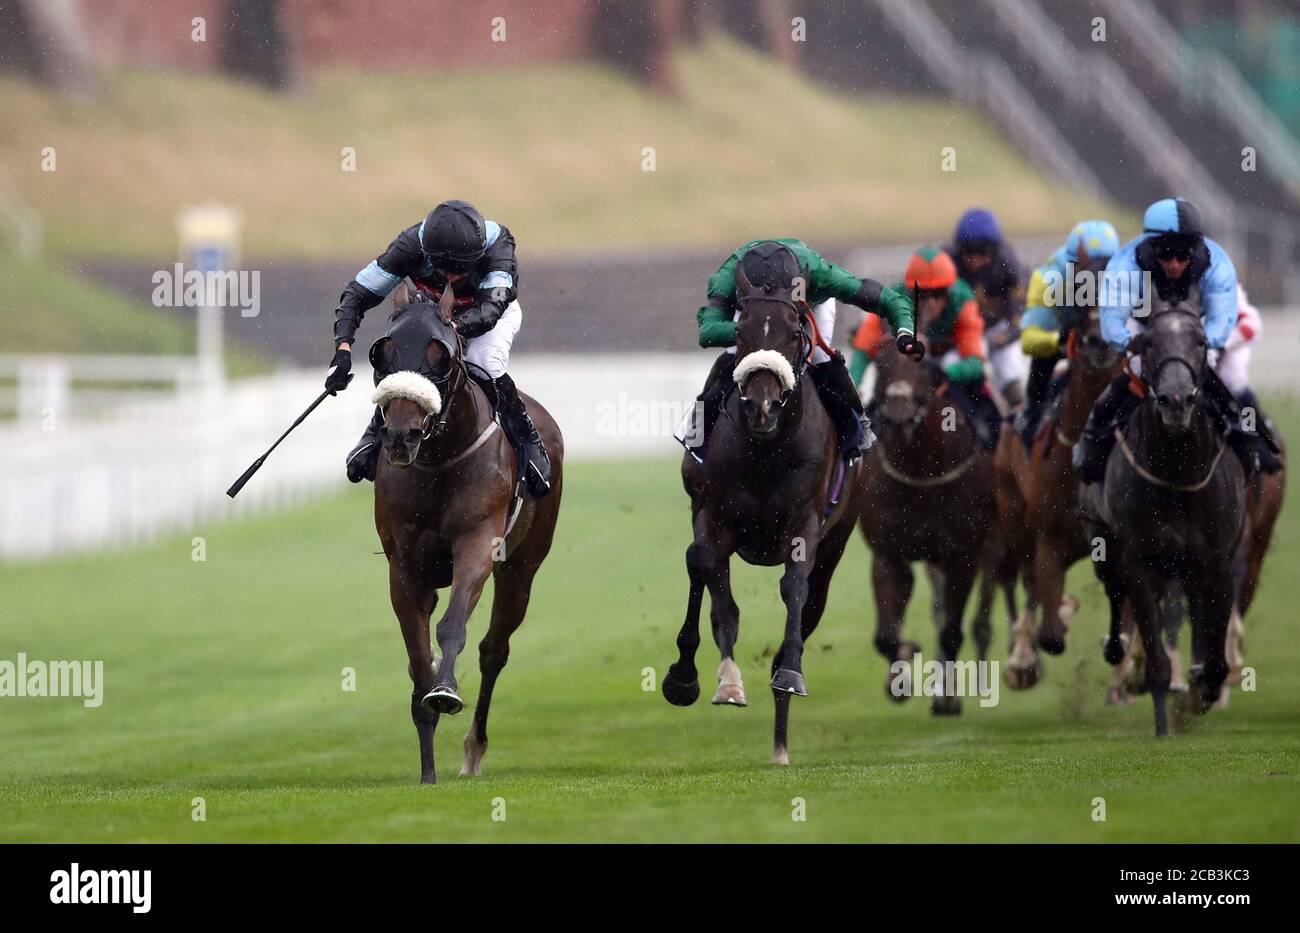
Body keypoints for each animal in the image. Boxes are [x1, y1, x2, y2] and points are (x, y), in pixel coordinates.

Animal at [371, 288, 564, 784]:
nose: (400, 436)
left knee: (494, 650)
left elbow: (453, 627)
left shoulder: (477, 543)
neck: (439, 457)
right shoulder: (403, 567)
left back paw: (474, 748)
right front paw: (427, 772)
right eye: (383, 352)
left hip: (522, 567)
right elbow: (417, 656)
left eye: (439, 353)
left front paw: (444, 692)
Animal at [660, 262, 863, 769]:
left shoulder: (806, 523)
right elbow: (717, 593)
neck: (767, 449)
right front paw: (719, 680)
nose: (762, 406)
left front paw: (788, 674)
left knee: (812, 602)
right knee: (697, 567)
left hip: (838, 539)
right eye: (741, 331)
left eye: (795, 333)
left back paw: (780, 739)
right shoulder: (714, 516)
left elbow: (795, 589)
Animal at [857, 343, 998, 717]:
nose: (898, 416)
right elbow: (886, 636)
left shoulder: (963, 556)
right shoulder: (888, 553)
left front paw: (946, 696)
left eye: (923, 368)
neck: (921, 468)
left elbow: (952, 630)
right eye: (880, 364)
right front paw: (901, 672)